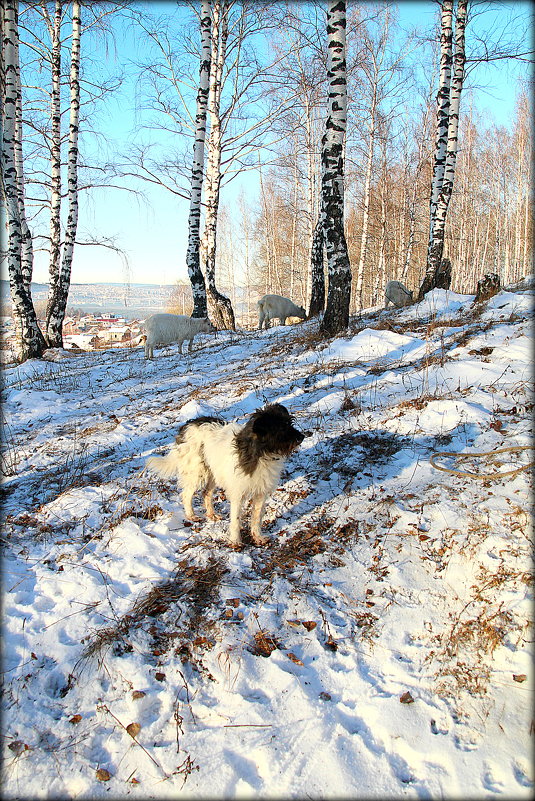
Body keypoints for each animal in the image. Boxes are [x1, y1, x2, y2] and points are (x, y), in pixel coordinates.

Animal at [146, 404, 306, 548]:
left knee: (206, 493)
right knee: (186, 495)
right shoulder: (237, 494)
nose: (302, 437)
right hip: (197, 473)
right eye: (281, 428)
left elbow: (256, 518)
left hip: (213, 474)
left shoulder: (261, 492)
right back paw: (191, 515)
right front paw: (235, 541)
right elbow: (235, 520)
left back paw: (211, 514)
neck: (261, 453)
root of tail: (187, 425)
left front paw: (258, 537)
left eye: (289, 423)